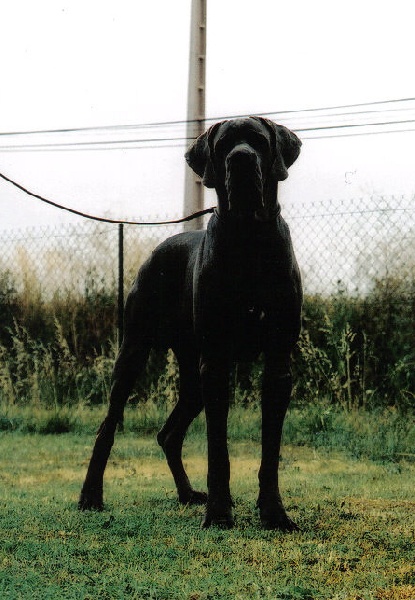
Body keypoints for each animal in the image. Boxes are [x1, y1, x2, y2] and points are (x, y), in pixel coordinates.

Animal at [79, 117, 302, 528]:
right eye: (224, 143)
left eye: (260, 142)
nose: (240, 158)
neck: (249, 239)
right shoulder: (214, 363)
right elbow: (218, 451)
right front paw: (219, 514)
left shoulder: (278, 362)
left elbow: (271, 451)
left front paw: (274, 514)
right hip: (134, 352)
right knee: (108, 426)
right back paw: (90, 495)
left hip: (192, 375)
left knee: (169, 434)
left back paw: (186, 494)